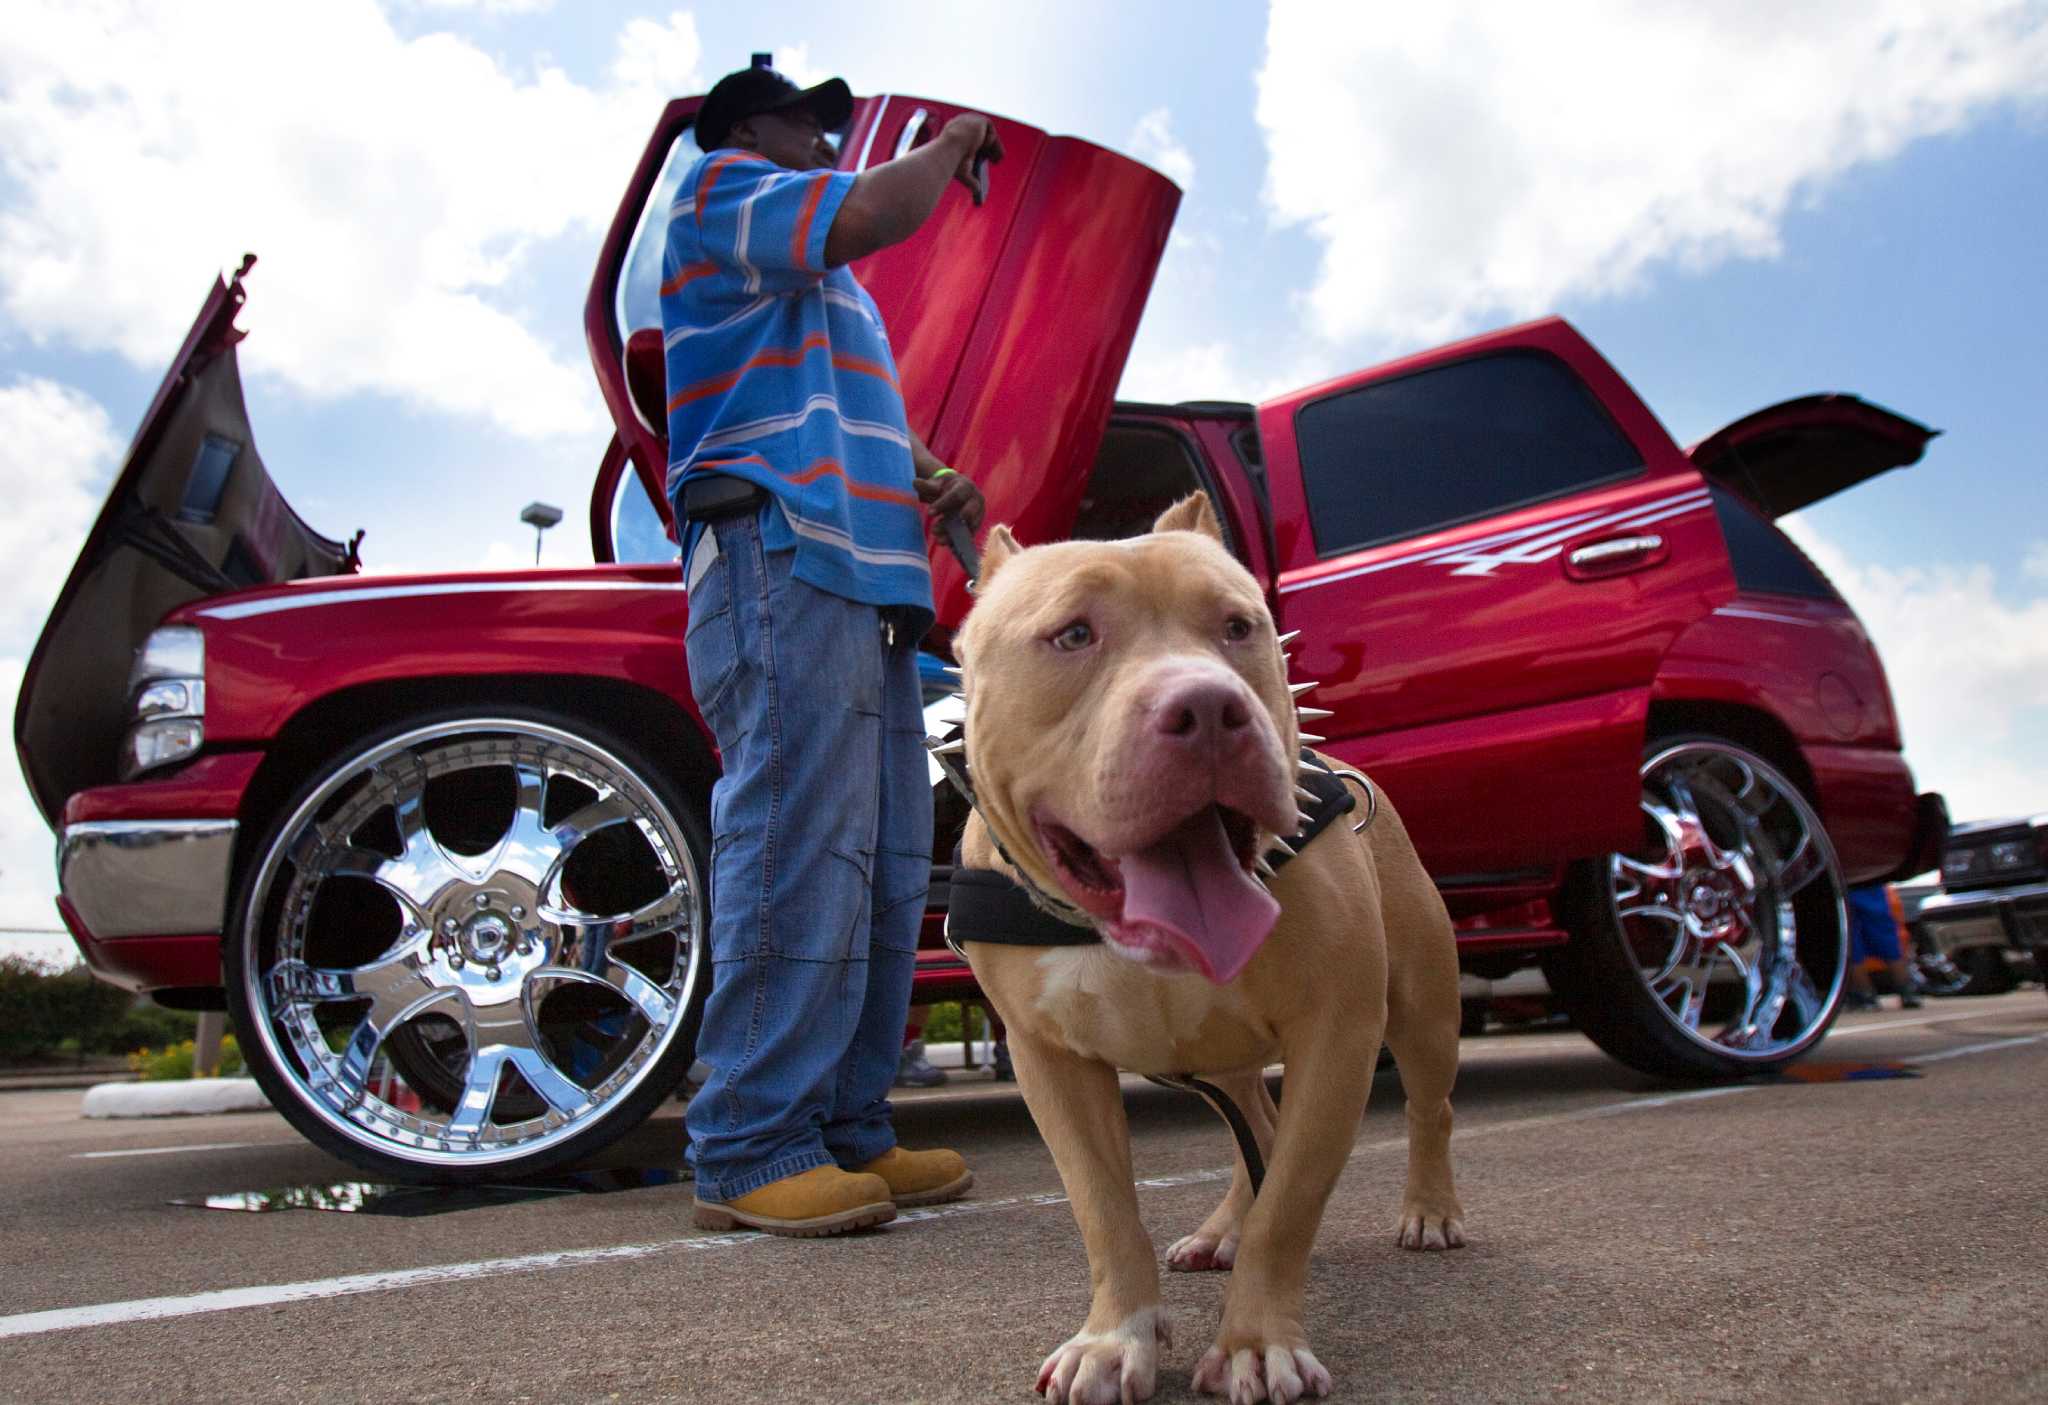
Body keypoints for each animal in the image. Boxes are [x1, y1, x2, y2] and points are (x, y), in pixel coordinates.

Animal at [950, 495, 1466, 1405]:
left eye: (1238, 626)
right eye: (1073, 634)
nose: (1211, 709)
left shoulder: (1337, 1033)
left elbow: (1290, 1202)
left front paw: (1258, 1342)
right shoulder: (1050, 1060)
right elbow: (1104, 1208)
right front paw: (1113, 1338)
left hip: (1423, 1011)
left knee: (1425, 1105)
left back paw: (1430, 1209)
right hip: (1216, 1057)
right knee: (1251, 1124)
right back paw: (1222, 1227)